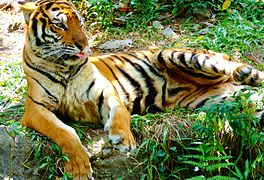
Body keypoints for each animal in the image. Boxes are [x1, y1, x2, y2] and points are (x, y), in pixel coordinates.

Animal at [17, 0, 262, 179]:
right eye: (59, 25)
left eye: (81, 23)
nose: (84, 45)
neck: (63, 66)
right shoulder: (35, 109)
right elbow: (64, 132)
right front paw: (79, 168)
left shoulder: (104, 90)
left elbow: (119, 111)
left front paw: (124, 139)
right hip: (224, 101)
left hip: (177, 55)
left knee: (228, 65)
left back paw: (245, 72)